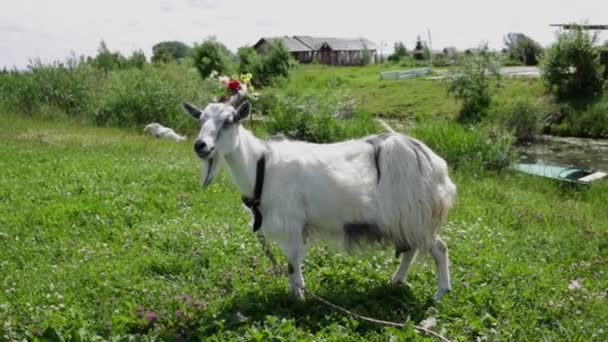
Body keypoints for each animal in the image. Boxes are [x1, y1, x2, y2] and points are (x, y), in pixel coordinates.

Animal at [180, 87, 456, 300]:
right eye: (200, 119)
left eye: (229, 121)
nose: (200, 146)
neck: (260, 166)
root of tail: (431, 160)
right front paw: (298, 294)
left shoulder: (291, 224)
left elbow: (292, 265)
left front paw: (298, 298)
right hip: (405, 218)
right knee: (411, 249)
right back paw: (396, 280)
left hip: (416, 214)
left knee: (438, 247)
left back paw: (440, 292)